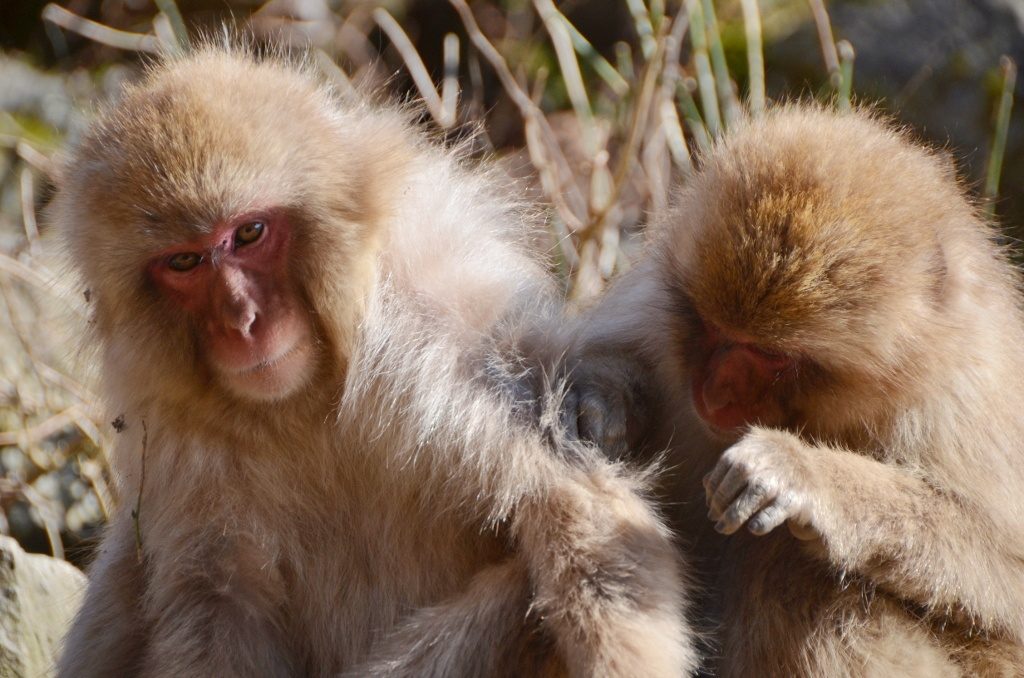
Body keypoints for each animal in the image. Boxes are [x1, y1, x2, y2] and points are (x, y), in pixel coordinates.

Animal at [49, 46, 697, 677]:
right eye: (184, 262)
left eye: (250, 232)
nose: (243, 322)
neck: (309, 398)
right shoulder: (173, 439)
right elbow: (219, 597)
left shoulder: (429, 346)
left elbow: (577, 510)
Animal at [545, 105, 1024, 676]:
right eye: (712, 328)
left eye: (774, 357)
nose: (716, 395)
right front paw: (602, 400)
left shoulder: (959, 403)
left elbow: (1010, 572)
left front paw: (807, 477)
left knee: (799, 574)